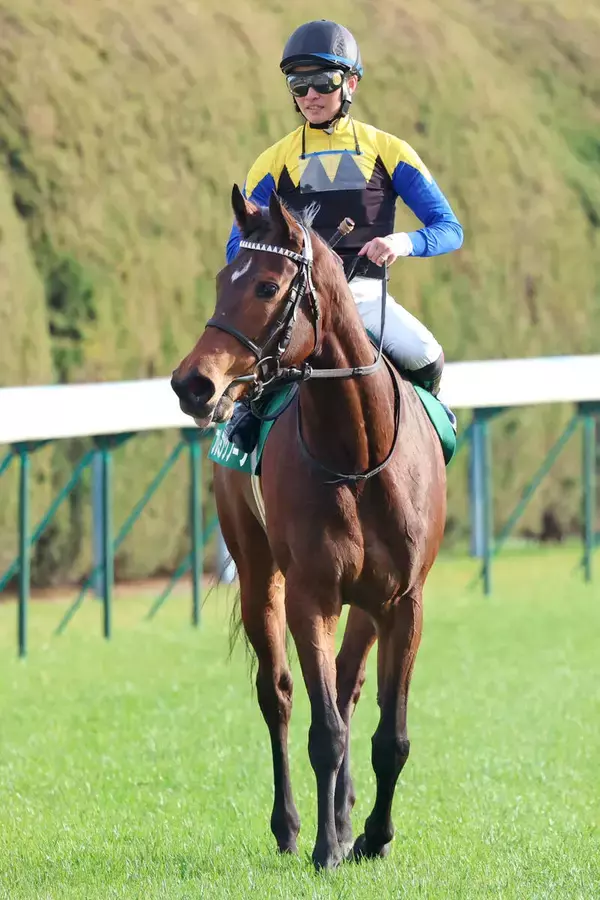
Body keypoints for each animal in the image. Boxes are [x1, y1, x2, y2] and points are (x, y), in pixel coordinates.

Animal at [171, 186, 446, 870]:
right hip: (257, 577)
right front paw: (325, 846)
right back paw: (293, 825)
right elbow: (325, 731)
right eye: (222, 279)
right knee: (279, 696)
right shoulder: (310, 595)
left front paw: (372, 834)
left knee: (348, 691)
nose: (193, 384)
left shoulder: (403, 600)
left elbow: (390, 736)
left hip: (368, 603)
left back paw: (347, 820)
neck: (359, 453)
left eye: (268, 285)